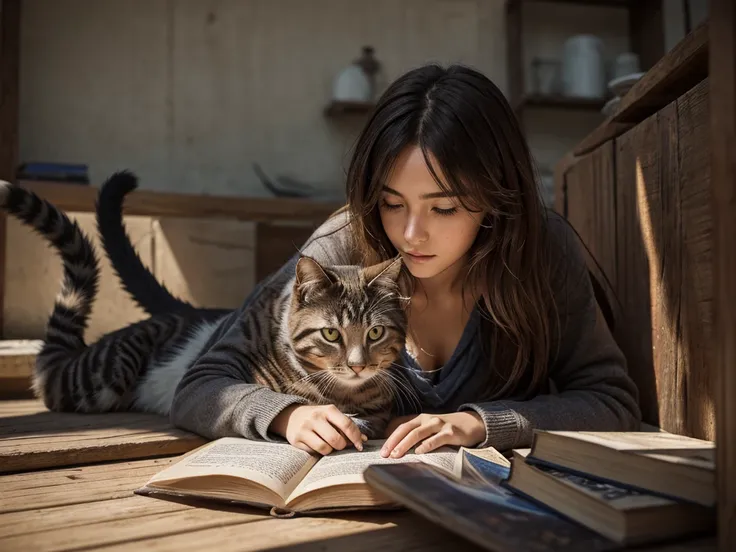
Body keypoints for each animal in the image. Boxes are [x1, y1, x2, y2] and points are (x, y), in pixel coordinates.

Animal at [0, 179, 406, 438]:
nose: (358, 365)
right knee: (49, 369)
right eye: (331, 333)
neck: (340, 393)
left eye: (375, 332)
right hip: (101, 374)